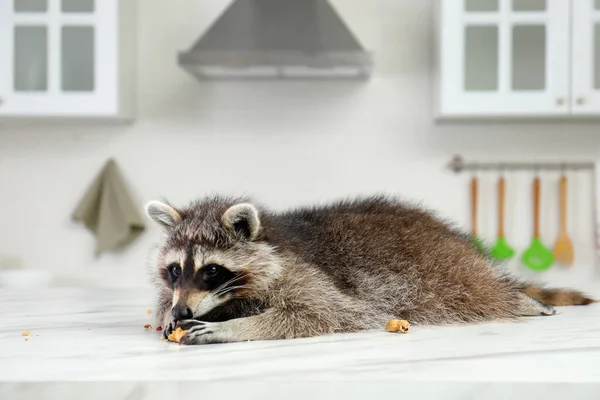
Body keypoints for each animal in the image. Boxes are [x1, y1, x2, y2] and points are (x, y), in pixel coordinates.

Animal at [144, 194, 596, 344]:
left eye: (212, 270)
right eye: (174, 270)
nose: (183, 311)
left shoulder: (306, 274)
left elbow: (322, 312)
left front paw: (236, 327)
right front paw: (172, 312)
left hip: (447, 272)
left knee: (478, 293)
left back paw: (516, 299)